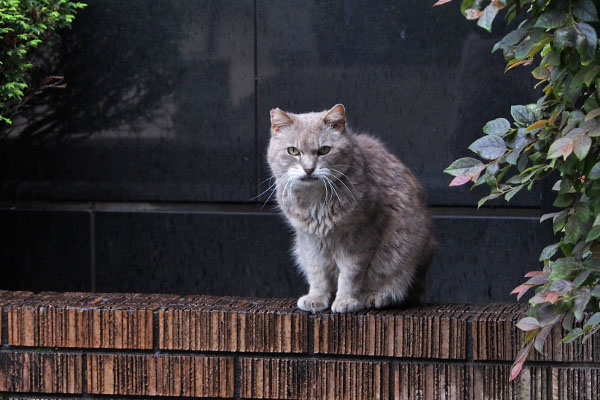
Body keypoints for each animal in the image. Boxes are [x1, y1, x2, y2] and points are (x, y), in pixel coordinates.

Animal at [266, 104, 432, 312]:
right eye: (293, 151)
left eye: (324, 150)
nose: (309, 169)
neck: (316, 202)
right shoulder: (309, 242)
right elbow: (317, 273)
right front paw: (317, 298)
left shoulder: (360, 238)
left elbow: (350, 275)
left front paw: (346, 300)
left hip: (404, 257)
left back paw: (378, 296)